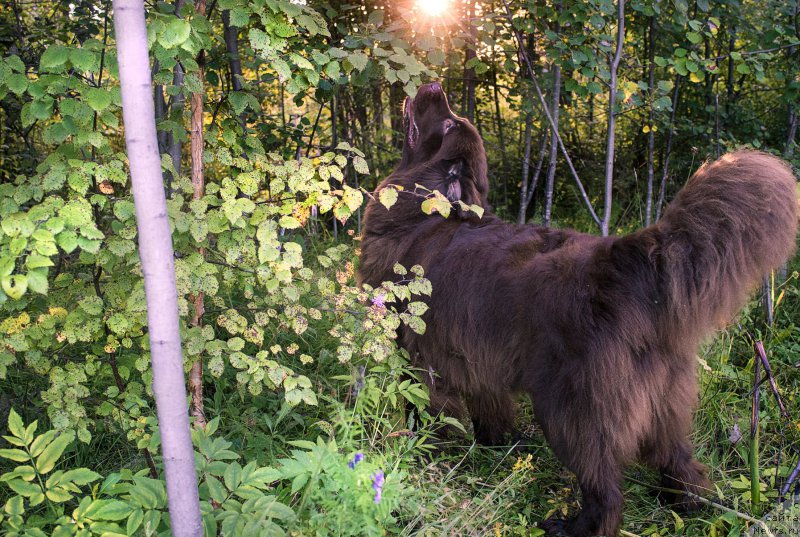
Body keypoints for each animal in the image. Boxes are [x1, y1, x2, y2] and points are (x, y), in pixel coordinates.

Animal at [360, 81, 796, 532]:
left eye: (448, 123)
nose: (433, 85)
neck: (424, 215)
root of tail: (622, 260)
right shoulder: (477, 357)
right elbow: (489, 406)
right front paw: (493, 442)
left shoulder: (420, 354)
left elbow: (423, 406)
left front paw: (422, 449)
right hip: (665, 404)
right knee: (680, 462)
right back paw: (684, 506)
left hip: (571, 411)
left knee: (606, 489)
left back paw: (572, 526)